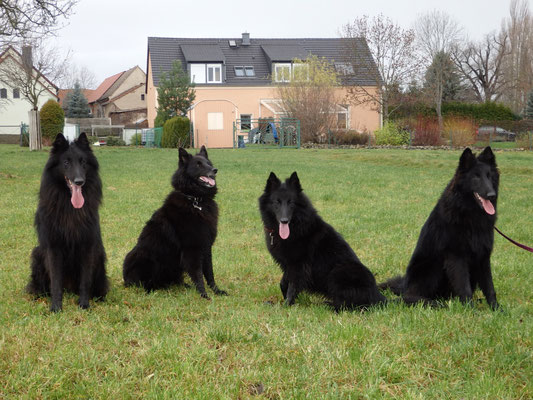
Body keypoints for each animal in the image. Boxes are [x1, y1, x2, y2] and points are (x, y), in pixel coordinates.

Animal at [28, 133, 110, 310]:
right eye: (66, 163)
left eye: (83, 162)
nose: (79, 181)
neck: (70, 208)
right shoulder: (53, 248)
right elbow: (55, 281)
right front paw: (56, 307)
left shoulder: (87, 246)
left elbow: (85, 281)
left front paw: (84, 305)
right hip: (37, 253)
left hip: (99, 254)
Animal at [122, 145, 227, 298]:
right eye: (198, 165)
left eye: (208, 163)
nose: (214, 170)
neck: (195, 200)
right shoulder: (192, 249)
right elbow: (198, 274)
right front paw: (203, 295)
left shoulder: (206, 246)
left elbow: (209, 272)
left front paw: (216, 291)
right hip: (142, 256)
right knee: (143, 283)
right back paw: (151, 289)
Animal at [256, 171, 382, 310]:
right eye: (276, 202)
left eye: (291, 203)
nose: (284, 221)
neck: (296, 226)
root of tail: (379, 297)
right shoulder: (288, 265)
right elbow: (283, 283)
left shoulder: (298, 266)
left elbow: (292, 286)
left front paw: (286, 305)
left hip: (338, 272)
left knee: (345, 305)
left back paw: (325, 305)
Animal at [380, 147, 500, 310]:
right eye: (476, 177)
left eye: (489, 177)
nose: (491, 194)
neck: (470, 214)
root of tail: (404, 285)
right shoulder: (456, 257)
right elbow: (464, 287)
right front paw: (470, 310)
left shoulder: (483, 256)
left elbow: (489, 287)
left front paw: (497, 309)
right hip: (432, 267)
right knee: (411, 296)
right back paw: (434, 303)